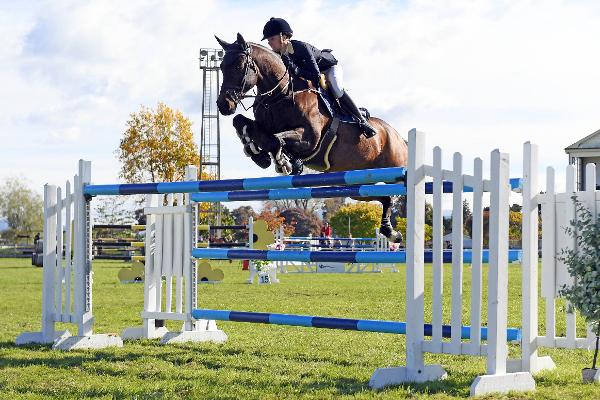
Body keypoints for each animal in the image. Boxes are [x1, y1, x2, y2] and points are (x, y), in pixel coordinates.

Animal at [214, 33, 408, 241]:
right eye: (221, 67)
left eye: (238, 66)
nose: (223, 105)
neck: (280, 94)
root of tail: (399, 138)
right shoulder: (264, 125)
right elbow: (243, 122)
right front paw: (258, 153)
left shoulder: (310, 139)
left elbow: (276, 138)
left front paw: (283, 162)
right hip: (360, 185)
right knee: (385, 197)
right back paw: (390, 232)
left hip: (394, 171)